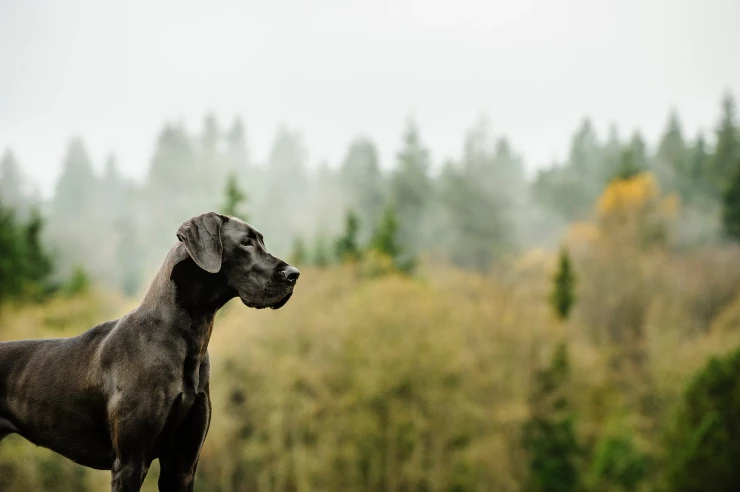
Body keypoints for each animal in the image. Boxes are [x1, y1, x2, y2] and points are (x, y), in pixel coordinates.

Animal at [1, 212, 300, 492]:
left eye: (261, 241)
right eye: (246, 242)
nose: (294, 274)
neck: (186, 338)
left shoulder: (182, 464)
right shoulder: (130, 462)